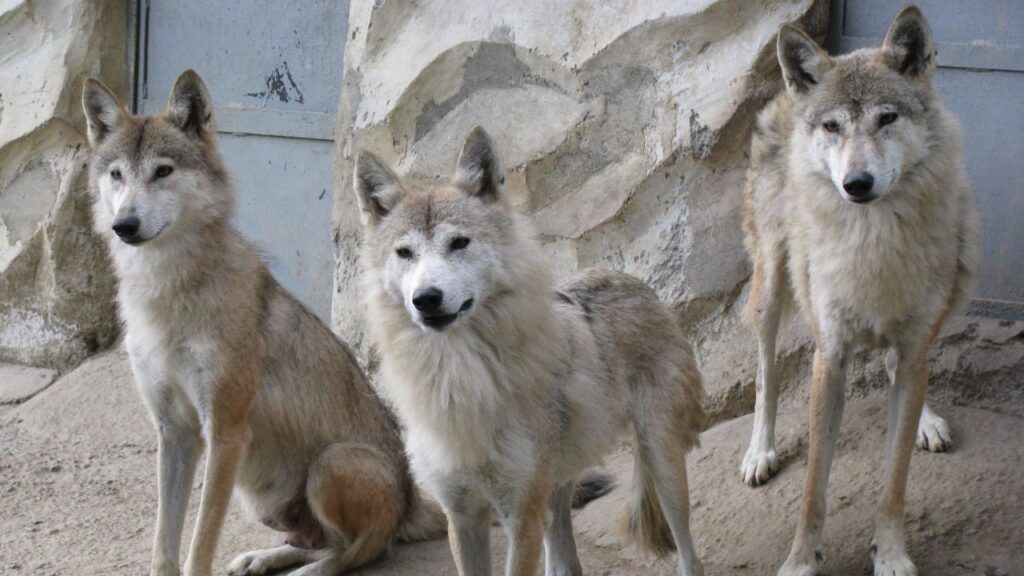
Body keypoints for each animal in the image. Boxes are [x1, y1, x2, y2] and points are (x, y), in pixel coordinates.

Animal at [81, 70, 447, 576]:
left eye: (163, 171)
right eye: (117, 174)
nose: (125, 225)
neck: (164, 291)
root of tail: (412, 501)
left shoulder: (225, 433)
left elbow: (200, 542)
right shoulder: (174, 433)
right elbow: (164, 542)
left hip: (330, 464)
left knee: (363, 550)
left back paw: (308, 572)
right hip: (263, 500)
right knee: (316, 542)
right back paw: (261, 558)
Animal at [355, 126, 707, 576]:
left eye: (459, 243)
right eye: (404, 253)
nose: (426, 298)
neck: (457, 376)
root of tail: (630, 280)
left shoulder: (520, 515)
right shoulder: (462, 516)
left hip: (660, 463)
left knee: (689, 555)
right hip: (557, 492)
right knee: (566, 562)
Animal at [740, 6, 980, 575]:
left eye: (887, 119)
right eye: (833, 127)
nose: (857, 184)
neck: (873, 242)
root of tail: (789, 92)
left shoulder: (914, 345)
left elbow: (895, 480)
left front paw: (890, 554)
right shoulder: (829, 358)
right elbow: (813, 487)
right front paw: (801, 560)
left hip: (960, 272)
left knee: (903, 368)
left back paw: (927, 421)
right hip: (770, 289)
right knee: (765, 374)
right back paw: (760, 452)